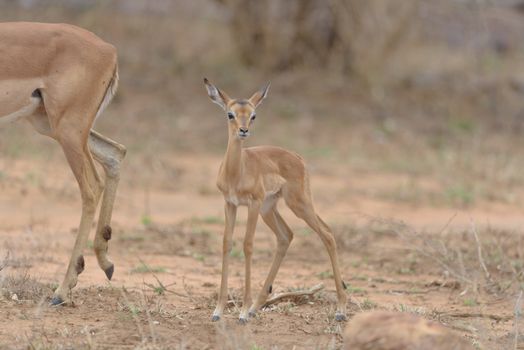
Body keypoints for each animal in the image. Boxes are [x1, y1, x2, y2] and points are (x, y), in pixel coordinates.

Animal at [0, 23, 126, 304]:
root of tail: (109, 49)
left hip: (67, 131)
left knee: (92, 188)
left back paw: (62, 290)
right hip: (53, 125)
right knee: (116, 153)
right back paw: (106, 262)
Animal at [205, 78, 348, 322]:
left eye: (253, 115)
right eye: (230, 114)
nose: (244, 131)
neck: (236, 171)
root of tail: (298, 157)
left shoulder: (252, 204)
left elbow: (248, 245)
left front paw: (242, 312)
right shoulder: (230, 204)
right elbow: (226, 243)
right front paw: (218, 311)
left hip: (297, 203)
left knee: (327, 234)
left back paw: (340, 309)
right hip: (270, 208)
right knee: (286, 236)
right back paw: (256, 307)